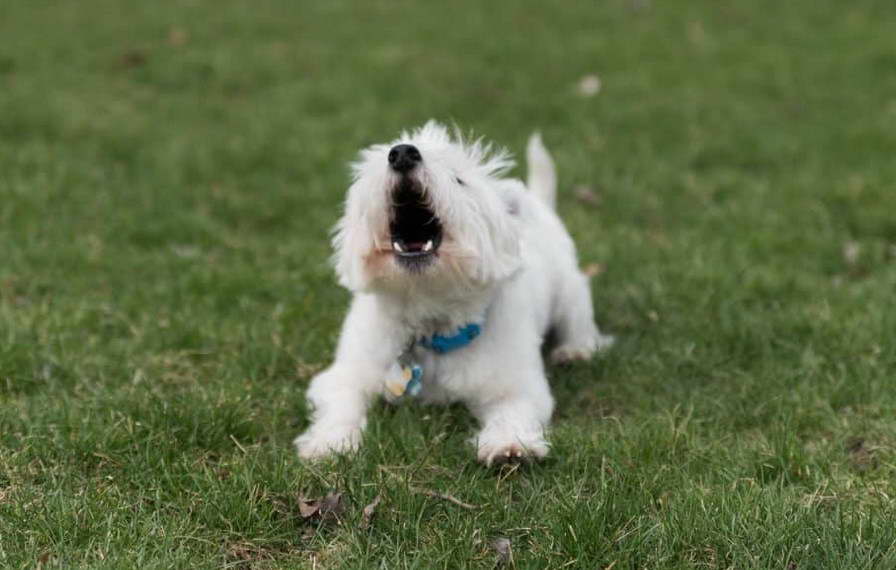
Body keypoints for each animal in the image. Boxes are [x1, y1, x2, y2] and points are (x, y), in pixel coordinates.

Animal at [298, 122, 612, 464]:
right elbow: (342, 406)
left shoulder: (518, 385)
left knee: (580, 325)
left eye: (459, 179)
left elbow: (513, 413)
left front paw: (508, 446)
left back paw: (575, 351)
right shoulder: (345, 375)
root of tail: (540, 205)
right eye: (377, 168)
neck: (431, 321)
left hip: (571, 293)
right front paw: (330, 444)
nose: (403, 154)